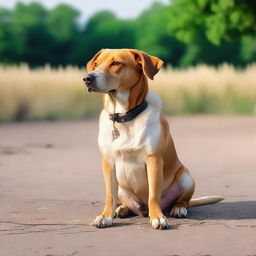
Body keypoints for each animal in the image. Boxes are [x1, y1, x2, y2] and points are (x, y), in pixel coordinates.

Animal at [83, 49, 223, 229]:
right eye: (96, 63)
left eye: (116, 63)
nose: (87, 78)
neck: (125, 117)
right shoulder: (108, 162)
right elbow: (109, 196)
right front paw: (105, 216)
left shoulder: (154, 160)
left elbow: (153, 195)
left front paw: (158, 217)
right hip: (121, 187)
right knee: (125, 203)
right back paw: (122, 209)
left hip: (186, 178)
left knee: (182, 201)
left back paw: (178, 209)